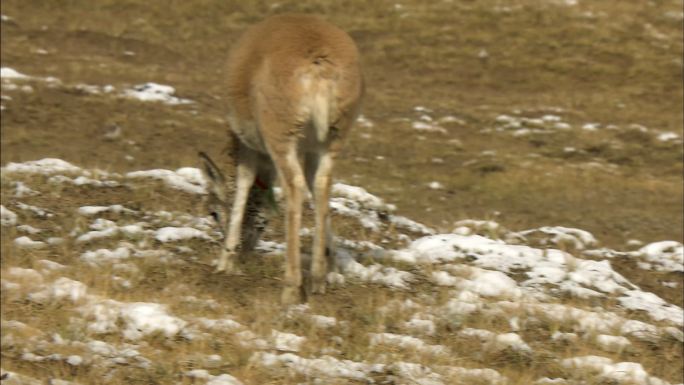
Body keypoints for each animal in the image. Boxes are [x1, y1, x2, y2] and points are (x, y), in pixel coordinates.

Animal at [199, 14, 364, 304]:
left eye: (213, 212)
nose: (246, 252)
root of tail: (318, 60)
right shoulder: (310, 150)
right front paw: (333, 268)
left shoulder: (249, 145)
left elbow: (243, 184)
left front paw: (225, 262)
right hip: (332, 139)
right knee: (321, 185)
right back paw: (318, 279)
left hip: (281, 136)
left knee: (294, 188)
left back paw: (290, 287)